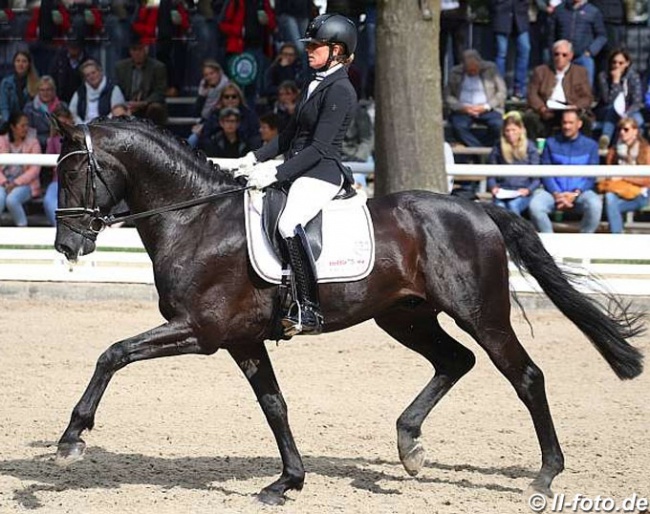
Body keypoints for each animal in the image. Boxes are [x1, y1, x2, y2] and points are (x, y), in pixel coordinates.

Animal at [52, 117, 644, 504]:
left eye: (76, 174)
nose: (67, 246)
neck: (196, 220)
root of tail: (475, 208)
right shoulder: (242, 339)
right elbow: (274, 404)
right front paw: (287, 482)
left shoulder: (201, 331)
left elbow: (113, 353)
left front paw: (71, 439)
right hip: (405, 316)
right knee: (455, 362)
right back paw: (409, 445)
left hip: (482, 314)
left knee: (524, 375)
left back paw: (545, 474)